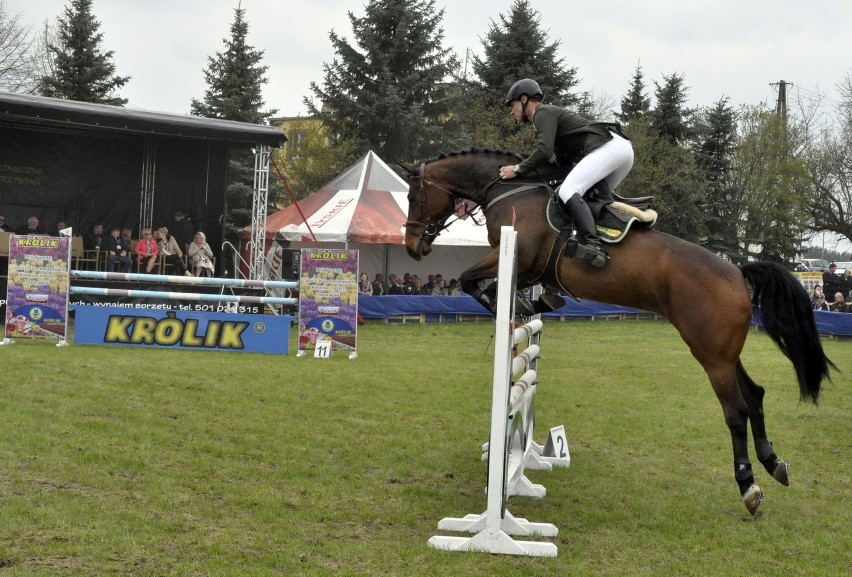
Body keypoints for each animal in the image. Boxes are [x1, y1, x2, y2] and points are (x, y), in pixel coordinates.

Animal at [402, 147, 840, 512]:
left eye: (414, 196)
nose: (412, 247)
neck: (508, 190)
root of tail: (738, 273)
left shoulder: (516, 255)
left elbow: (468, 280)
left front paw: (509, 303)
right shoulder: (527, 268)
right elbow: (486, 284)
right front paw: (534, 303)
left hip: (710, 354)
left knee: (736, 411)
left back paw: (748, 486)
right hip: (724, 351)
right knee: (755, 394)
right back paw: (773, 462)